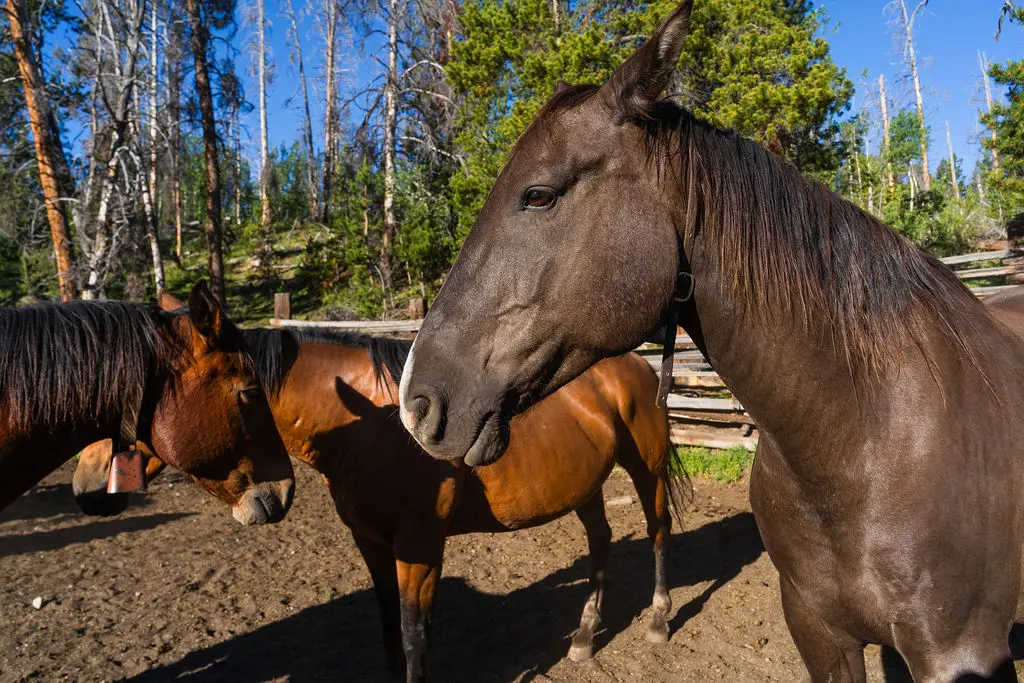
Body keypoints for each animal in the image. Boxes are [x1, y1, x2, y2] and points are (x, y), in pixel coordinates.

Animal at [73, 307, 683, 682]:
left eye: (132, 383)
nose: (85, 485)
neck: (368, 424)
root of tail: (633, 362)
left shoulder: (420, 547)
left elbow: (414, 634)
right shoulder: (371, 542)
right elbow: (388, 624)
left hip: (646, 468)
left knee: (658, 531)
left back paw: (657, 621)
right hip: (586, 484)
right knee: (601, 543)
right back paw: (584, 636)